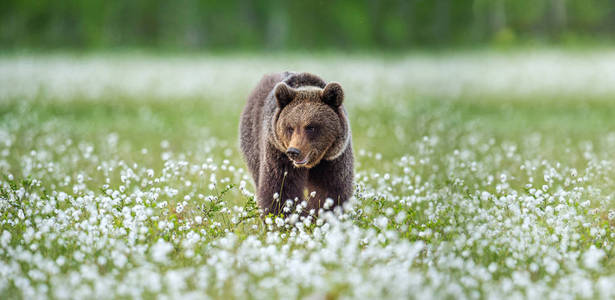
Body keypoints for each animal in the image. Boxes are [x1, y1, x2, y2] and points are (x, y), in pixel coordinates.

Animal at [241, 72, 356, 216]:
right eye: (290, 127)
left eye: (310, 127)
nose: (294, 151)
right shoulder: (278, 154)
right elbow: (280, 189)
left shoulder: (333, 159)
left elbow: (331, 190)